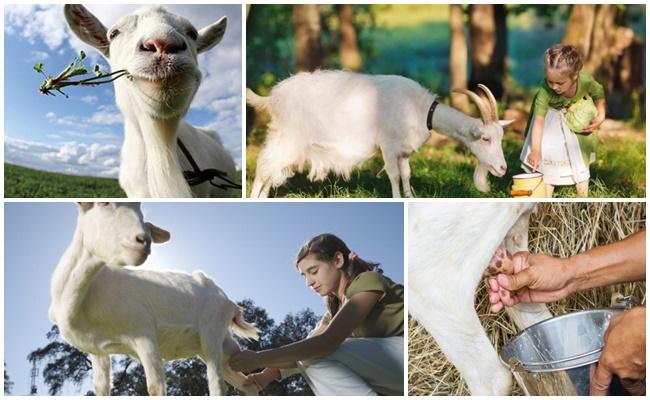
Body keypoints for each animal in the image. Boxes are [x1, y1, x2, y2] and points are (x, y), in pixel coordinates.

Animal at [48, 202, 258, 396]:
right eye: (104, 204)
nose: (143, 240)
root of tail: (230, 303)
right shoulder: (98, 351)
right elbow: (101, 390)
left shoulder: (144, 332)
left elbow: (155, 388)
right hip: (220, 347)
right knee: (248, 383)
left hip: (211, 331)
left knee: (218, 385)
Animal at [247, 71, 512, 198]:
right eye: (486, 138)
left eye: (501, 137)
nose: (503, 169)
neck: (419, 108)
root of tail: (273, 98)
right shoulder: (388, 145)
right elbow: (394, 176)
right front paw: (396, 197)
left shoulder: (403, 150)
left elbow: (406, 174)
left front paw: (409, 197)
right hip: (289, 138)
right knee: (263, 168)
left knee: (271, 172)